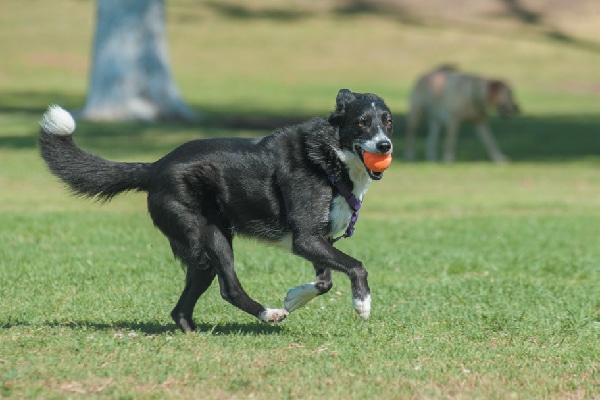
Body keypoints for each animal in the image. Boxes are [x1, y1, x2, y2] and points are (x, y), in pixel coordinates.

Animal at [38, 90, 394, 332]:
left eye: (388, 122)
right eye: (362, 123)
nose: (385, 146)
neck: (329, 156)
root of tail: (156, 167)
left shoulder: (318, 240)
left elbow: (326, 280)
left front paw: (294, 297)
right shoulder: (306, 238)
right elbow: (355, 266)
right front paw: (362, 303)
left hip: (200, 252)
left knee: (183, 306)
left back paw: (193, 333)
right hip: (212, 236)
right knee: (229, 288)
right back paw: (268, 314)